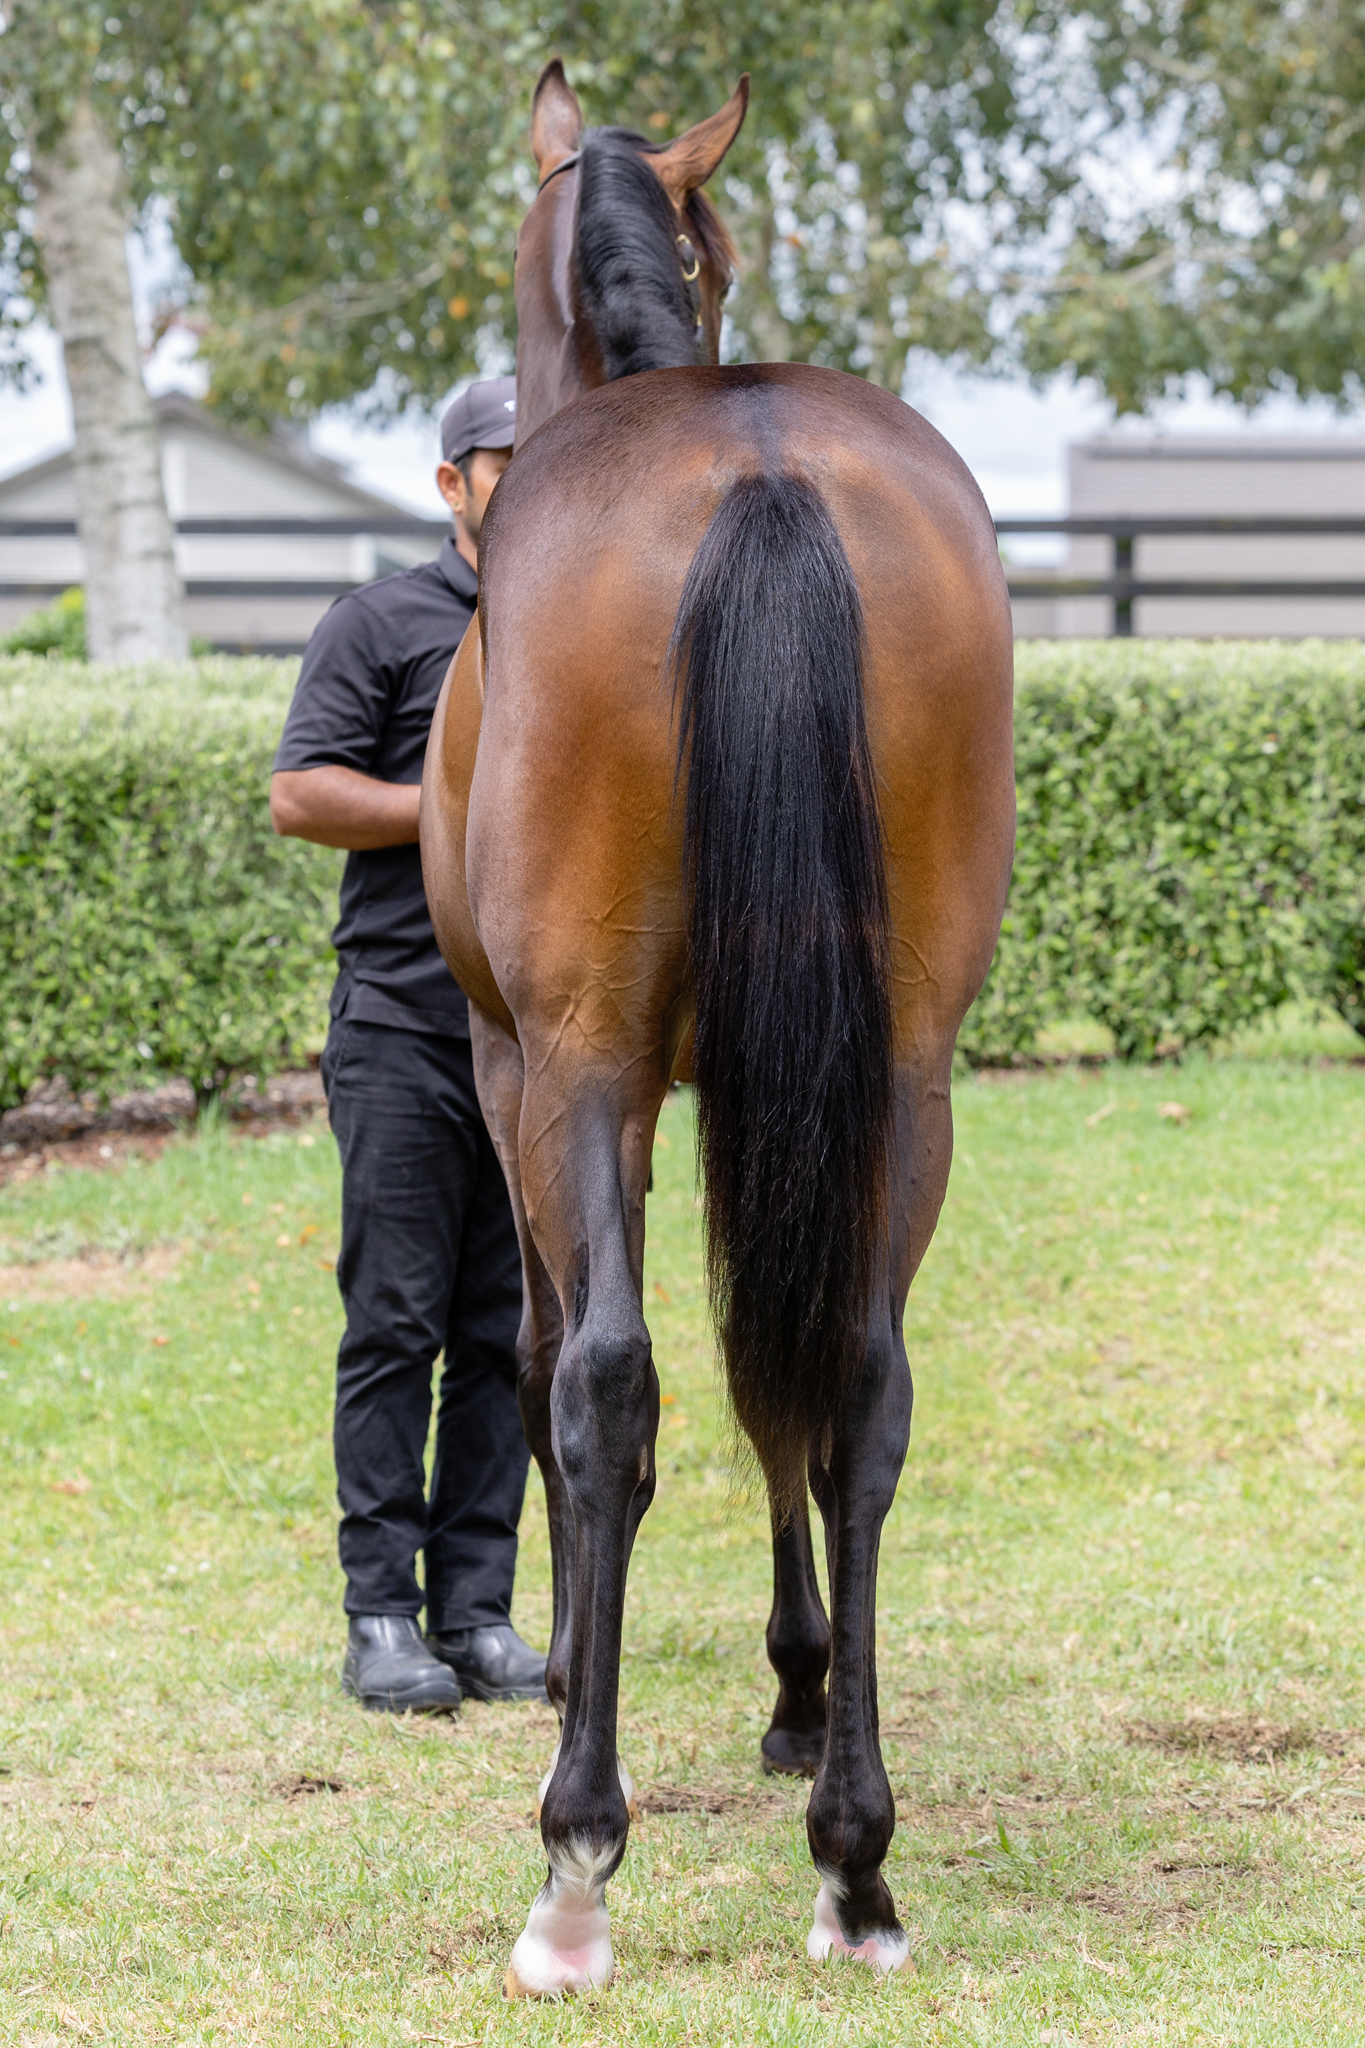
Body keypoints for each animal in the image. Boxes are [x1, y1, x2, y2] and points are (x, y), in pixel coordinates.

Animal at [420, 60, 1015, 1996]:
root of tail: (758, 463)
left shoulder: (524, 1065)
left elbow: (554, 1364)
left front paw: (563, 1684)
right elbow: (781, 1384)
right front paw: (800, 1695)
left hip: (588, 1062)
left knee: (606, 1375)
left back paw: (574, 1869)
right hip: (902, 1075)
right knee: (855, 1381)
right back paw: (858, 1864)